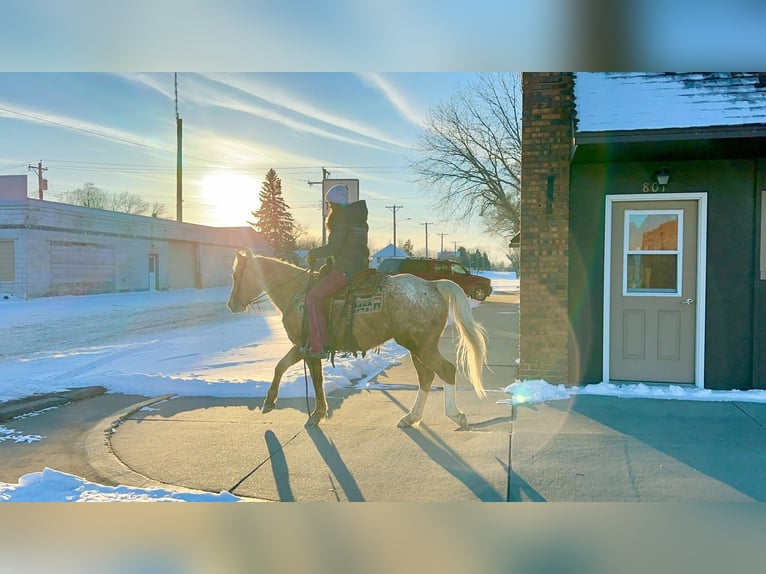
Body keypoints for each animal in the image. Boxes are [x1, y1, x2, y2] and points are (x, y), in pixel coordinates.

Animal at [225, 252, 488, 428]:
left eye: (236, 274)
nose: (231, 305)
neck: (298, 293)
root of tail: (433, 285)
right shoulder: (301, 346)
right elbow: (280, 366)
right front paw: (269, 402)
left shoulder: (310, 348)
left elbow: (316, 380)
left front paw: (317, 414)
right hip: (418, 347)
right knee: (426, 377)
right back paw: (410, 417)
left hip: (421, 346)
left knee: (446, 370)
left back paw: (455, 415)